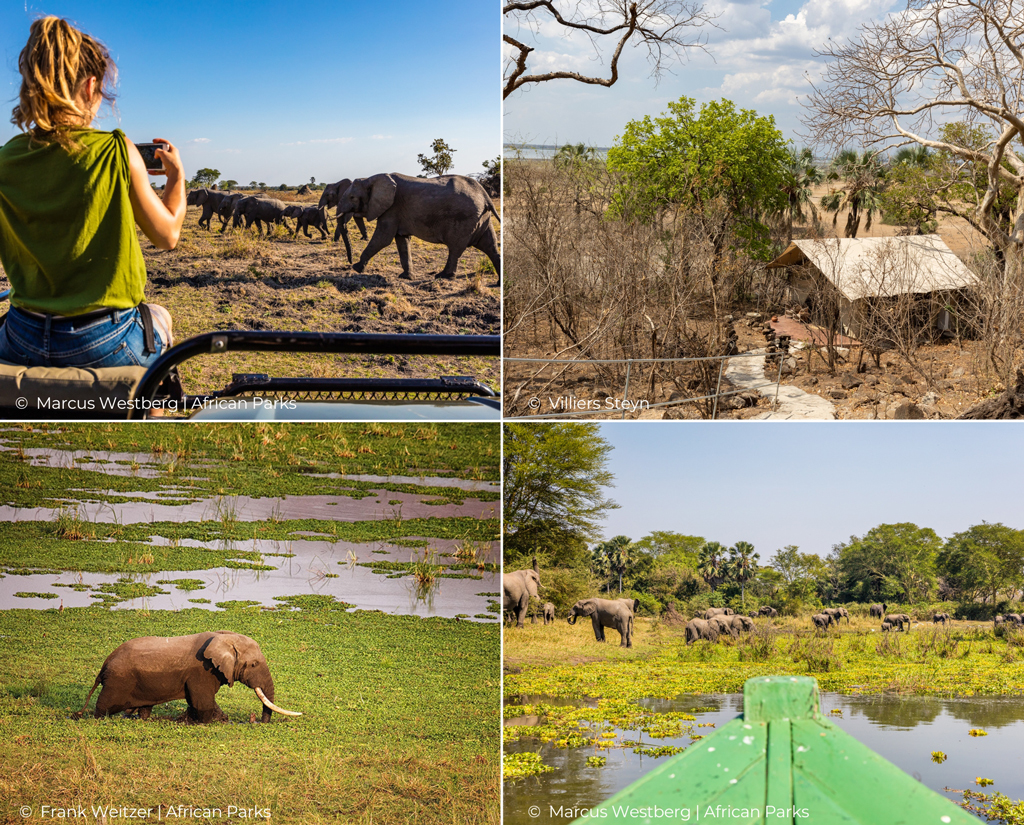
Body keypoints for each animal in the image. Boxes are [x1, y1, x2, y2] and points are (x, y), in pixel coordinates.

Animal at [74, 634, 299, 724]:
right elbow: (203, 703)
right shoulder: (202, 671)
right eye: (253, 665)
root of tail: (104, 664)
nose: (258, 721)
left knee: (143, 710)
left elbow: (196, 702)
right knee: (103, 707)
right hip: (117, 682)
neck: (224, 637)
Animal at [335, 172, 499, 282]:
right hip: (482, 218)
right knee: (490, 246)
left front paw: (356, 268)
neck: (370, 178)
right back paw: (498, 283)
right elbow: (402, 241)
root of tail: (485, 194)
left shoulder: (391, 209)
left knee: (455, 248)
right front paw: (406, 277)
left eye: (352, 198)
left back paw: (442, 276)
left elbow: (383, 239)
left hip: (464, 219)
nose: (349, 262)